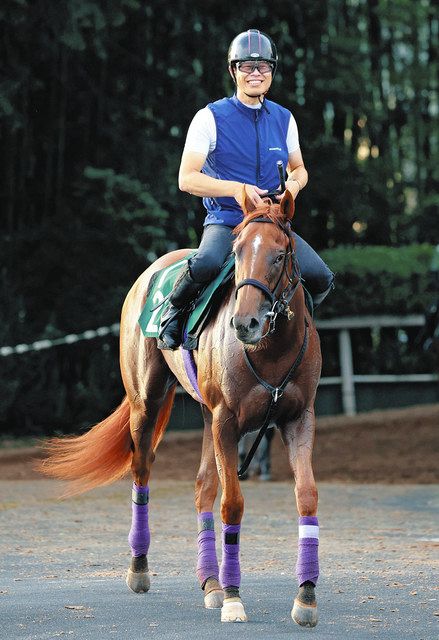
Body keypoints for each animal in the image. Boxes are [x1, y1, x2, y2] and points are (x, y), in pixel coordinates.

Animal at [40, 189, 324, 624]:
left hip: (208, 416)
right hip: (148, 402)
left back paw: (211, 582)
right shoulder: (227, 421)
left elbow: (305, 495)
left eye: (280, 255)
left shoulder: (297, 418)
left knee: (202, 486)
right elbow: (232, 504)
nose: (245, 323)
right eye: (238, 252)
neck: (271, 350)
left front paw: (305, 595)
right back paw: (141, 569)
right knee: (142, 471)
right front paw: (234, 598)